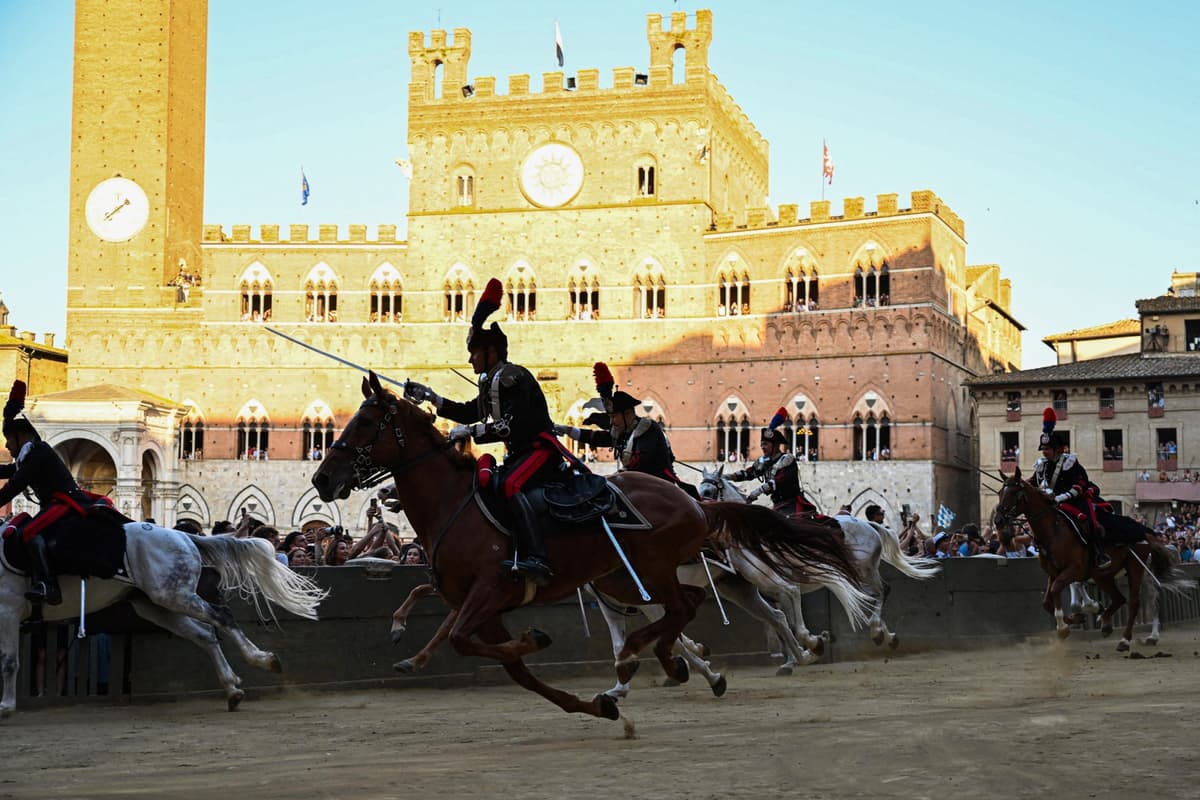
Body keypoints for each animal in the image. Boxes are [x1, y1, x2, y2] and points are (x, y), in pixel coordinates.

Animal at [0, 522, 328, 714]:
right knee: (206, 635)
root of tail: (183, 535)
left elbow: (9, 661)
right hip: (158, 605)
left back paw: (262, 660)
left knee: (221, 617)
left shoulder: (8, 610)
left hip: (172, 596)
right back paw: (233, 687)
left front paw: (6, 706)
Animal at [314, 371, 868, 724]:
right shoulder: (480, 602)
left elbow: (464, 638)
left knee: (709, 606)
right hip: (630, 578)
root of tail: (696, 506)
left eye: (366, 423)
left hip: (656, 570)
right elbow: (484, 649)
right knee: (699, 610)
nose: (323, 478)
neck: (459, 504)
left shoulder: (491, 591)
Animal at [700, 462, 940, 662]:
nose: (700, 516)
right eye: (699, 490)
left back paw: (877, 631)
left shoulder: (782, 585)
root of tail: (868, 525)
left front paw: (811, 645)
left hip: (865, 570)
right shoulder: (771, 592)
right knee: (871, 596)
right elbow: (782, 622)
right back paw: (885, 636)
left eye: (710, 491)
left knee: (882, 591)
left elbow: (791, 623)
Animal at [988, 470, 1185, 652]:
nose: (998, 520)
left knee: (1137, 601)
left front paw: (1064, 626)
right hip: (1104, 575)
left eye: (1015, 493)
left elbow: (1058, 591)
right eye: (1000, 492)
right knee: (1120, 598)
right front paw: (1079, 617)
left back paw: (1128, 639)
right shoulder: (1054, 573)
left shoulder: (1074, 570)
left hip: (1136, 568)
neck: (1053, 531)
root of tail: (1146, 530)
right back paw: (1107, 623)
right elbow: (1048, 601)